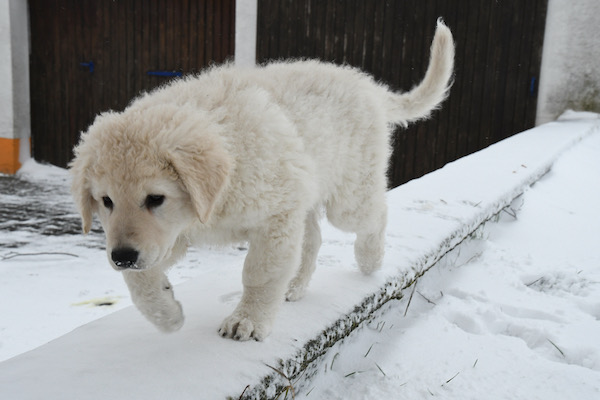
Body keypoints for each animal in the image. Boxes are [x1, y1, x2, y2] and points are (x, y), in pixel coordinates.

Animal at [70, 19, 452, 340]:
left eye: (155, 198)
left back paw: (370, 258)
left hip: (348, 194)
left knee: (374, 214)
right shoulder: (172, 234)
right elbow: (138, 280)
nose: (121, 256)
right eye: (106, 201)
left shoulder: (275, 218)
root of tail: (366, 84)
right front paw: (167, 315)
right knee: (311, 239)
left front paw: (247, 320)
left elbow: (260, 273)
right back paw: (294, 285)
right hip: (305, 190)